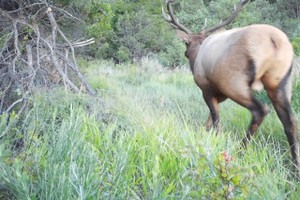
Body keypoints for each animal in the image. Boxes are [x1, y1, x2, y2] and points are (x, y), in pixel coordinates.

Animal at [164, 0, 300, 177]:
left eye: (186, 43)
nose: (186, 53)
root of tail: (274, 40)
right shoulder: (219, 96)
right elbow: (209, 120)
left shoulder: (206, 89)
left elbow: (216, 120)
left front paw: (216, 141)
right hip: (281, 81)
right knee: (290, 120)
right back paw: (295, 168)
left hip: (233, 82)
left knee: (260, 110)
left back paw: (239, 152)